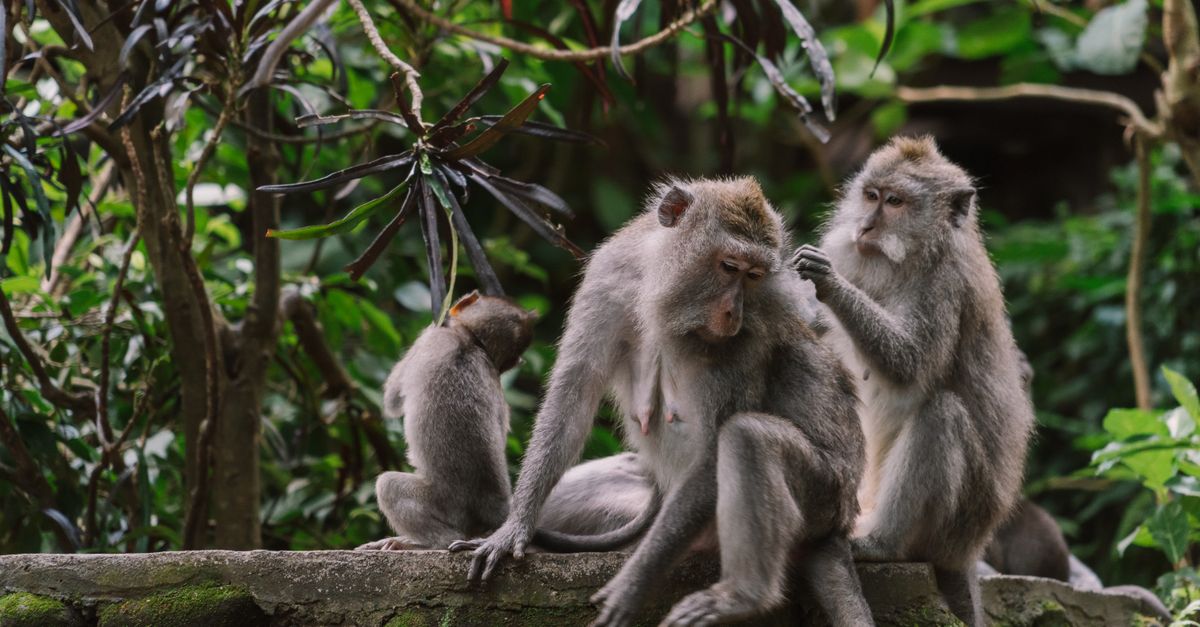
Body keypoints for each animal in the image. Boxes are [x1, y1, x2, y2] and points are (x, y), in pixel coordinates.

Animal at [357, 291, 655, 552]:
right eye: (515, 357)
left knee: (389, 486)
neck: (470, 340)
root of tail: (495, 511)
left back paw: (424, 543)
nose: (521, 361)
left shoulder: (429, 339)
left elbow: (392, 399)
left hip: (444, 506)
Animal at [452, 177, 874, 627]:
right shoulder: (610, 275)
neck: (659, 284)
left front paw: (632, 584)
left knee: (748, 438)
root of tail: (839, 524)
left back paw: (742, 596)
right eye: (729, 267)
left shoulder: (747, 337)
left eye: (755, 275)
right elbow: (574, 395)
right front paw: (514, 527)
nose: (733, 313)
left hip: (825, 495)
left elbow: (712, 454)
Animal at [791, 136, 1036, 626]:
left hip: (959, 524)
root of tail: (969, 551)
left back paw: (883, 543)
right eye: (871, 195)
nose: (865, 227)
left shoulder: (945, 286)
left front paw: (831, 283)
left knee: (941, 414)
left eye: (895, 202)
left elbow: (909, 363)